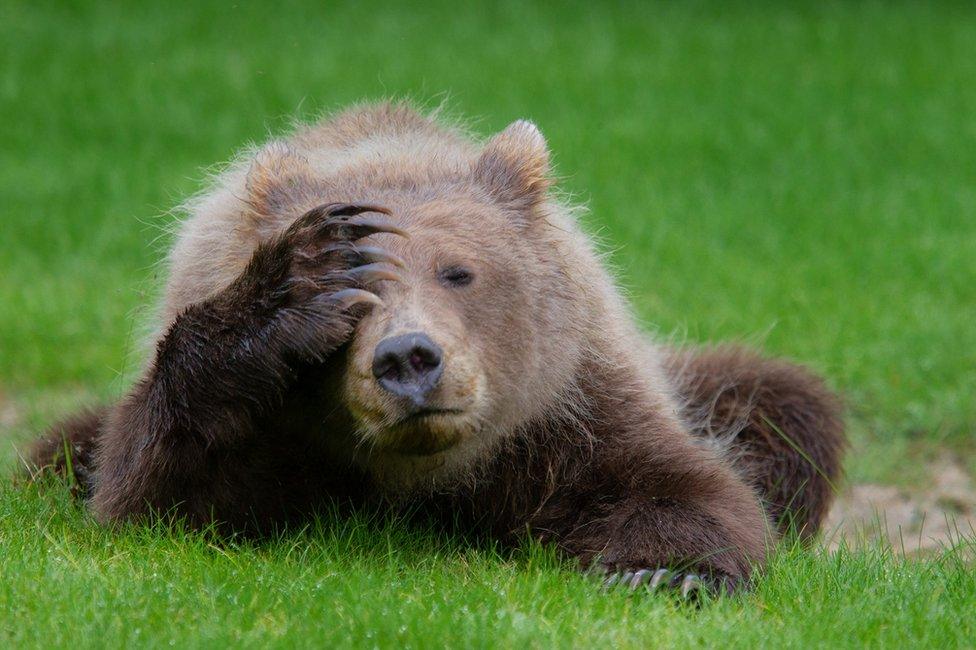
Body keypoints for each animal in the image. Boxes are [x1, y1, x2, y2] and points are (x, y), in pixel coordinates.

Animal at [26, 102, 844, 596]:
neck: (420, 475)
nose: (407, 359)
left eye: (458, 271)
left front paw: (664, 574)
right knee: (55, 453)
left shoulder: (565, 407)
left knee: (783, 405)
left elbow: (677, 487)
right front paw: (291, 286)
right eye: (357, 295)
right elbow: (157, 493)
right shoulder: (275, 434)